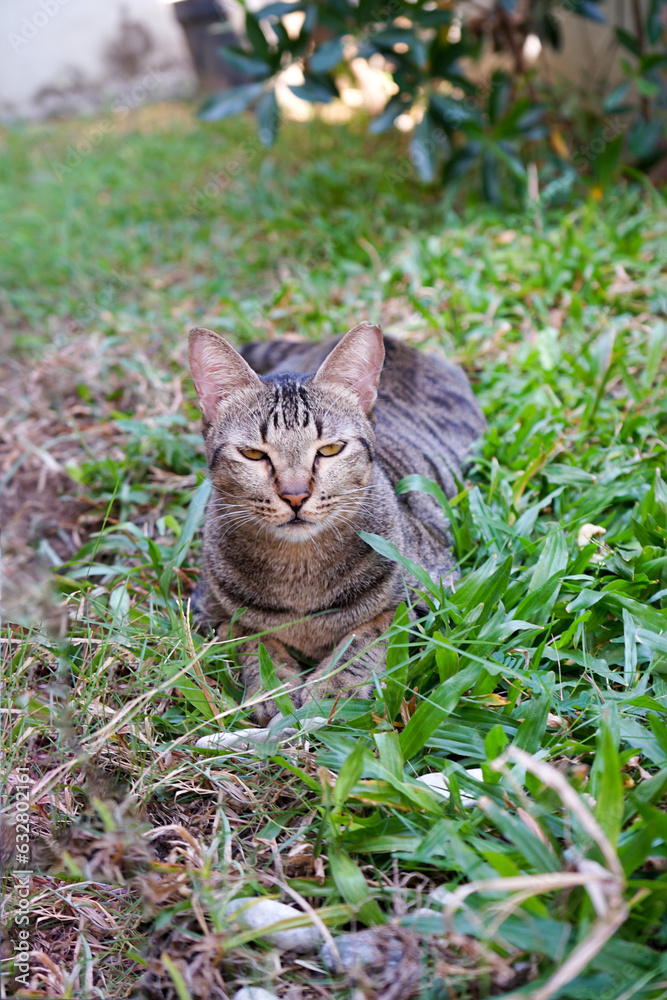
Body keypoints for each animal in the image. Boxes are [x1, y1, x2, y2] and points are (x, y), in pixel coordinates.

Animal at [188, 320, 486, 720]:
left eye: (329, 449)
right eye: (253, 454)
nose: (295, 495)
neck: (298, 573)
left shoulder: (438, 597)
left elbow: (368, 636)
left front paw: (332, 688)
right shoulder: (208, 610)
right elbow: (250, 638)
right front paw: (272, 685)